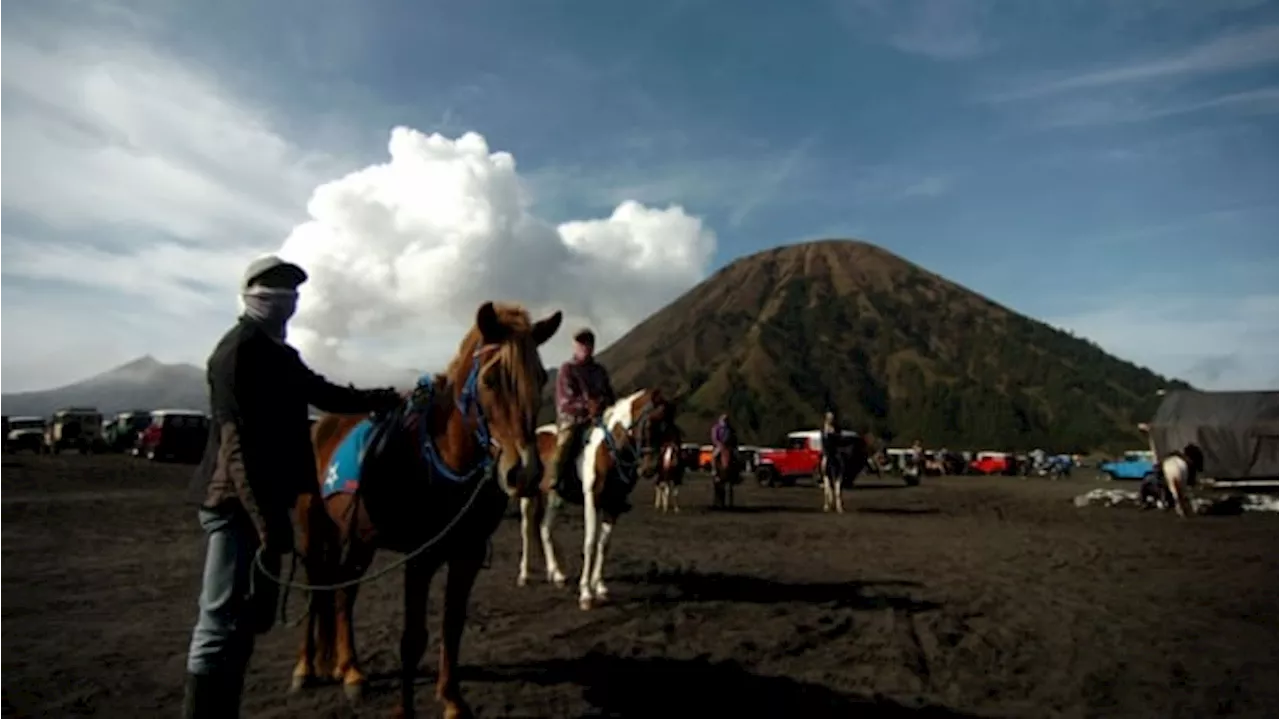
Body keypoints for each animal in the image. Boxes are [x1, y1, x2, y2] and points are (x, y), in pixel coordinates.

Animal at [290, 300, 560, 716]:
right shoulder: (420, 558)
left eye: (541, 377)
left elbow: (453, 624)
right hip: (315, 528)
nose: (525, 472)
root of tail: (320, 425)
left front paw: (452, 700)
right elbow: (413, 638)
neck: (445, 462)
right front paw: (406, 710)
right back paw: (306, 667)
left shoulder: (466, 554)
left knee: (343, 592)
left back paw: (349, 670)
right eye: (490, 380)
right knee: (318, 588)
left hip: (358, 537)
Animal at [517, 388, 686, 606]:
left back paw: (557, 575)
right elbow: (590, 543)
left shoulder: (613, 505)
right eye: (650, 423)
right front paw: (585, 593)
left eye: (669, 428)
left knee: (544, 528)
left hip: (556, 498)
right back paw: (524, 575)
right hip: (528, 496)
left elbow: (604, 545)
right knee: (526, 530)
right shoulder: (592, 500)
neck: (609, 451)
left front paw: (599, 587)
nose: (649, 468)